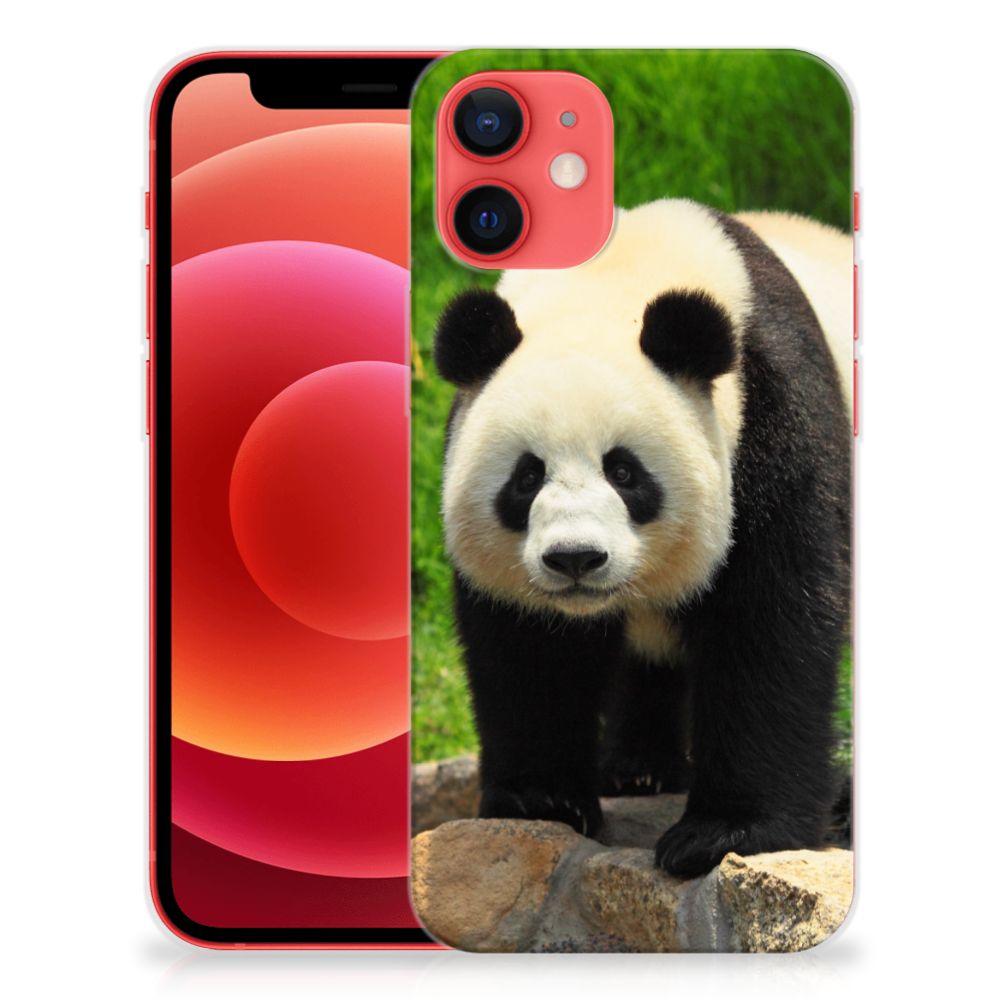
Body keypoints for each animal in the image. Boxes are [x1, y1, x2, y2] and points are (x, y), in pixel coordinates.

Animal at [432, 199, 852, 878]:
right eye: (527, 476)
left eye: (624, 472)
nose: (575, 558)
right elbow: (530, 647)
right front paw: (541, 799)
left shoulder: (774, 419)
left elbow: (771, 623)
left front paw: (724, 833)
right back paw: (637, 769)